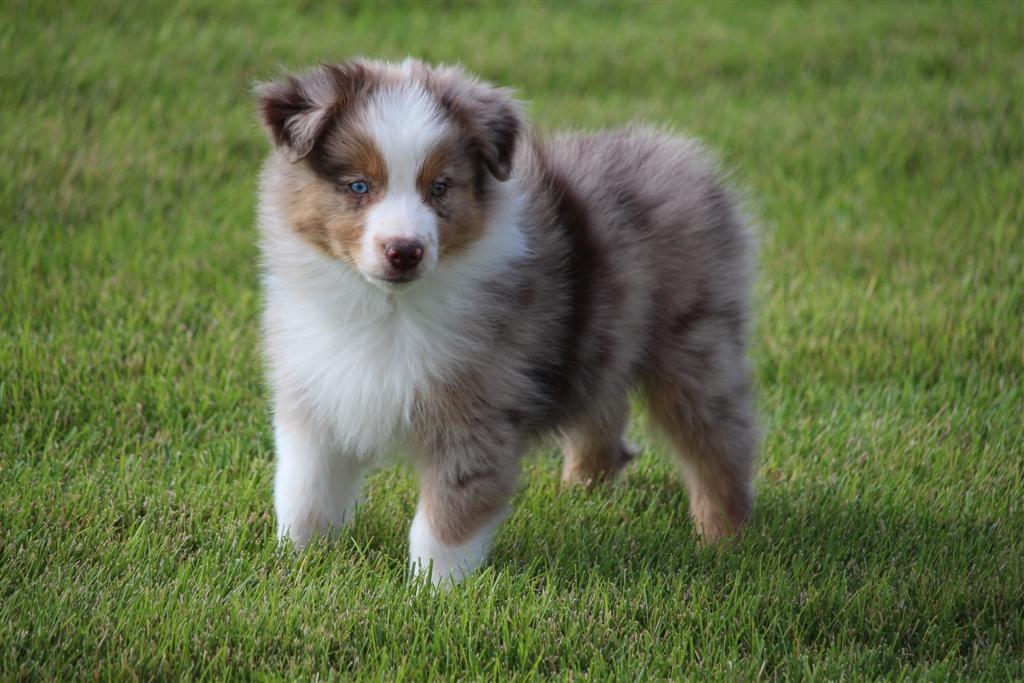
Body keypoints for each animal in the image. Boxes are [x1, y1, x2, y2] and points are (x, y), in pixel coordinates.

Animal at [254, 58, 757, 585]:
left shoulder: (477, 413)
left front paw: (433, 591)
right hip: (606, 338)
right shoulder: (316, 397)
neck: (387, 307)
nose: (405, 251)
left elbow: (445, 521)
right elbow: (303, 495)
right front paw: (295, 564)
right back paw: (583, 490)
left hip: (695, 345)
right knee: (604, 406)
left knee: (720, 442)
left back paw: (723, 538)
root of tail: (684, 156)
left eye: (439, 187)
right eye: (358, 186)